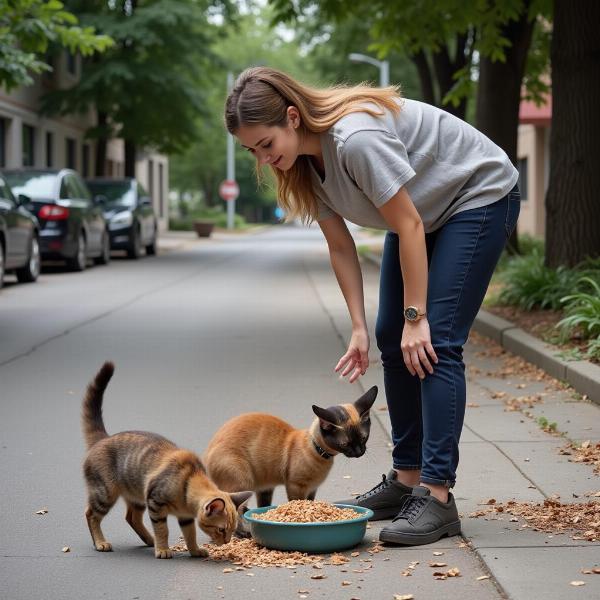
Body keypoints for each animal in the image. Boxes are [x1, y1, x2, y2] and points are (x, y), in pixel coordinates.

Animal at [204, 386, 378, 508]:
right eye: (345, 444)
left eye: (364, 438)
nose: (359, 452)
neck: (317, 450)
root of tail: (207, 454)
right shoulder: (296, 487)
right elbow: (298, 504)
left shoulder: (312, 489)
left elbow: (310, 503)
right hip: (243, 483)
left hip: (265, 489)